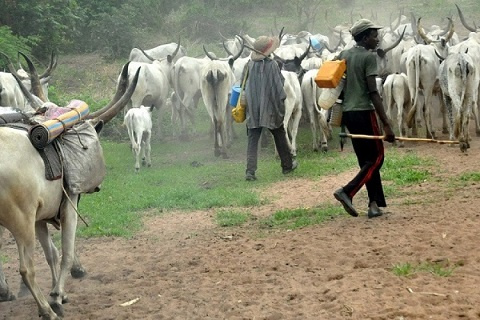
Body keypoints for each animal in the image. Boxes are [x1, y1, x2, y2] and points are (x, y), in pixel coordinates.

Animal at [0, 61, 139, 318]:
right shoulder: (69, 204)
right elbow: (66, 253)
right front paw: (57, 296)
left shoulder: (39, 219)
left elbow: (52, 254)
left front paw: (59, 291)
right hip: (21, 222)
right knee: (26, 269)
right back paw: (46, 309)